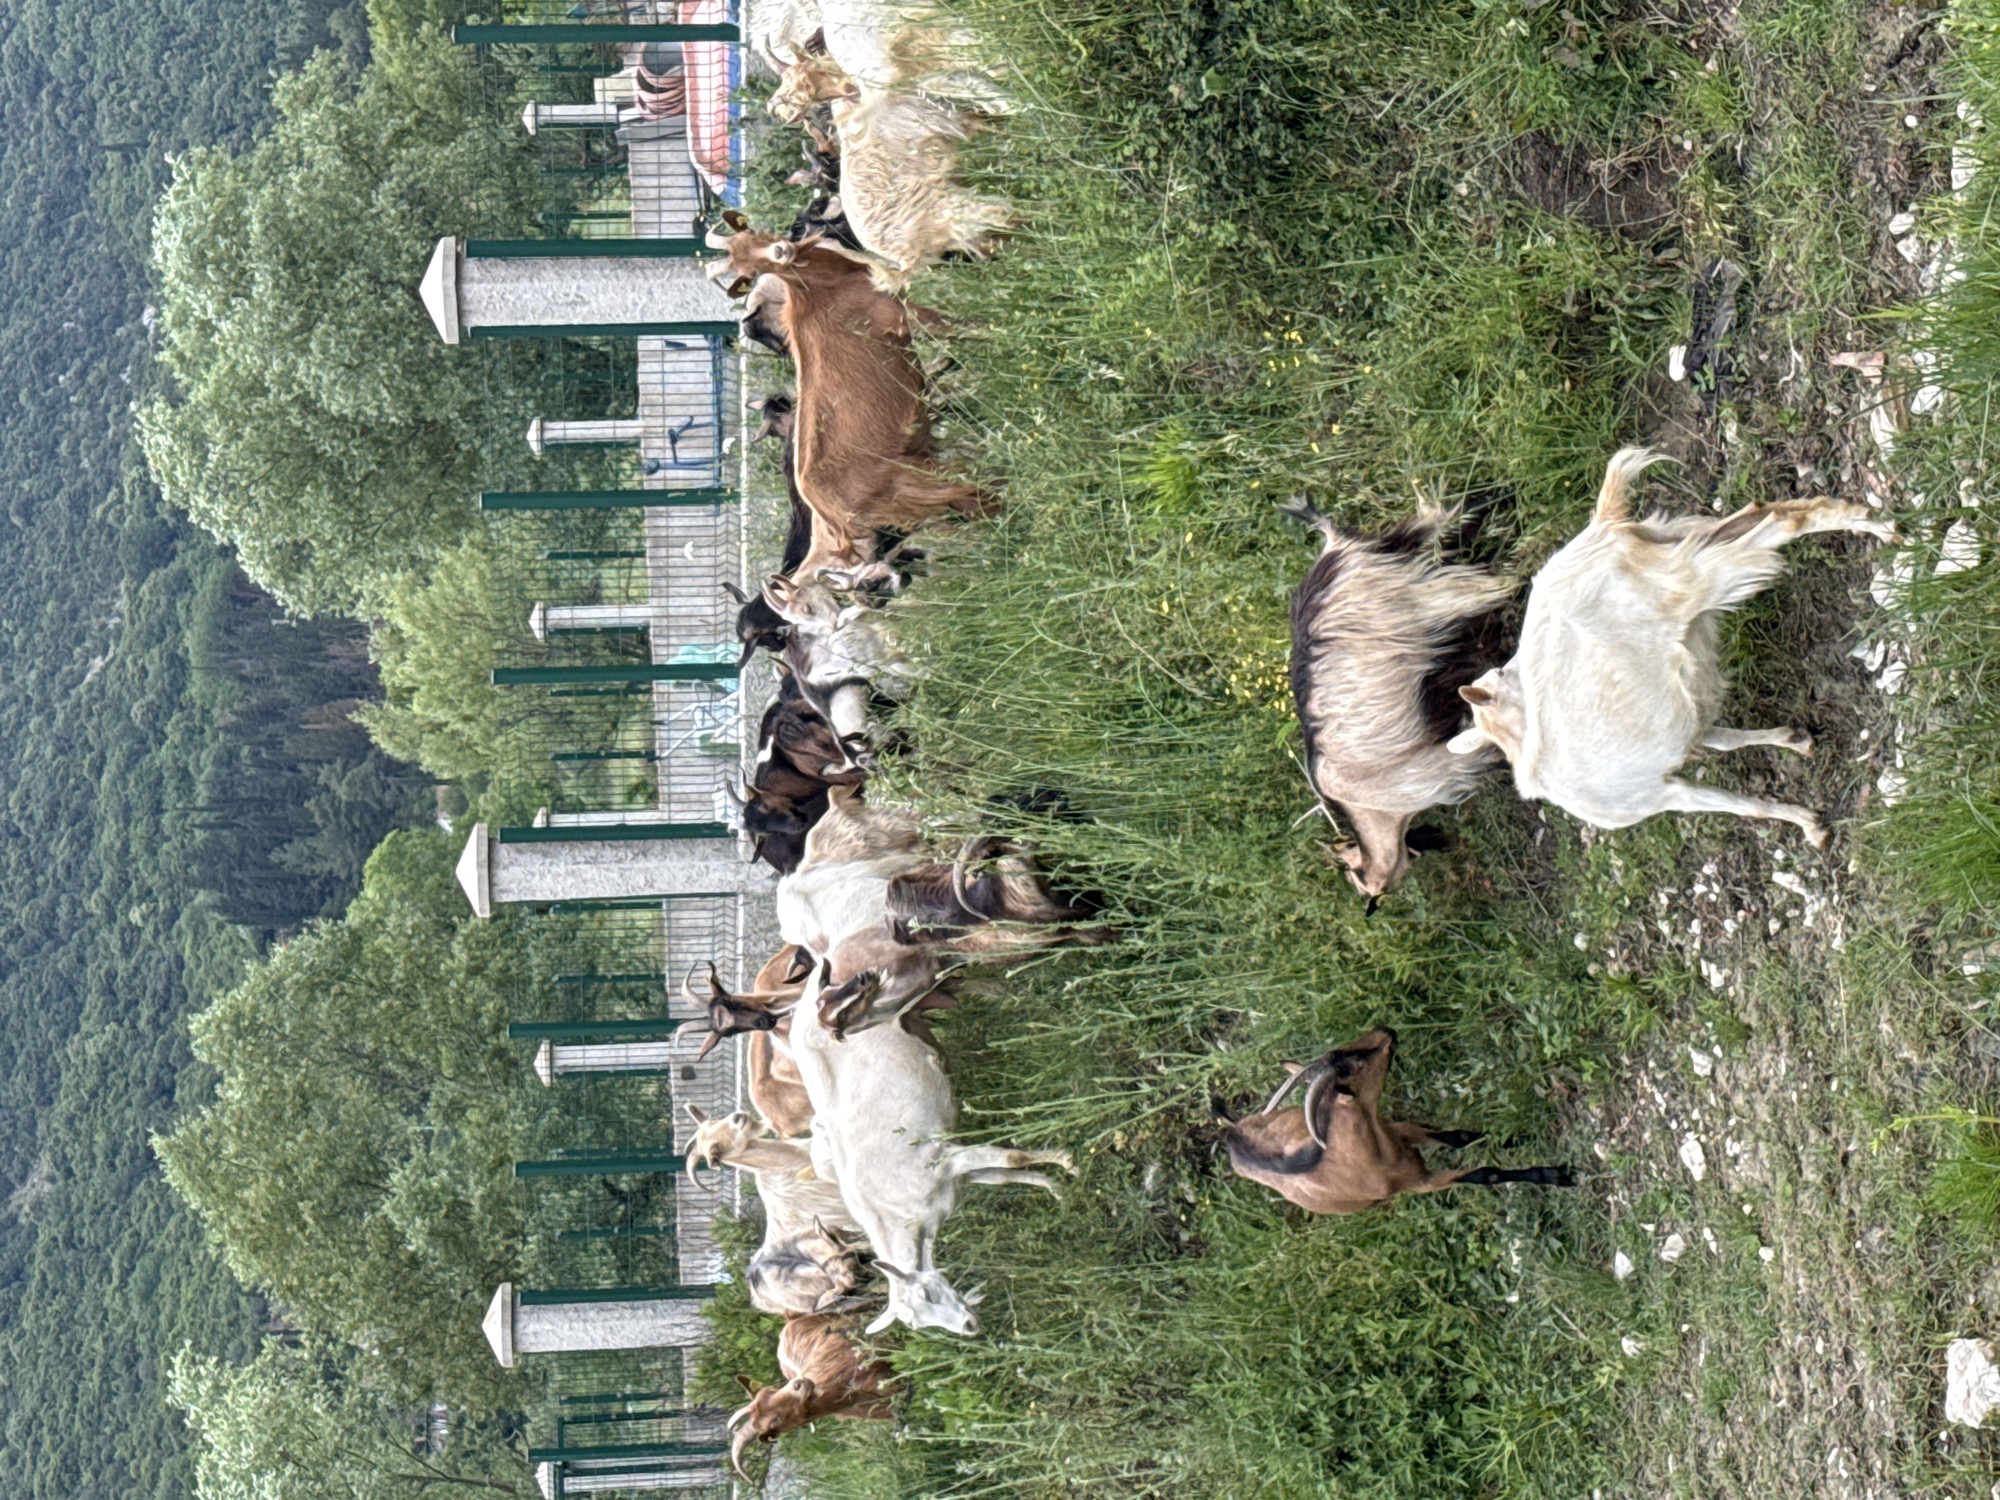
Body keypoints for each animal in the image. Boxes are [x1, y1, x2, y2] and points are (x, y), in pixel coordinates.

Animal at [790, 955, 1072, 1335]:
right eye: (920, 1324)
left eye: (928, 1294)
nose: (969, 1326)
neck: (898, 1212)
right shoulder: (960, 1177)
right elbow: (1003, 1175)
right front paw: (1056, 1189)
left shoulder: (946, 1158)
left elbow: (1011, 1158)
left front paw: (1068, 1161)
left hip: (891, 1001)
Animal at [1219, 1029, 1573, 1214]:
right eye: (1356, 1063)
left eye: (1345, 1051)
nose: (1386, 1030)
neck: (1373, 1154)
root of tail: (1232, 1134)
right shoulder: (1420, 1182)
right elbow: (1485, 1174)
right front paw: (1556, 1175)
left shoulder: (1398, 1130)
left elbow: (1458, 1137)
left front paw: (1519, 1137)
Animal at [1284, 498, 1516, 902]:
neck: (1375, 813)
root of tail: (1334, 548)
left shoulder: (1434, 770)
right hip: (1401, 563)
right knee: (1430, 523)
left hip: (1415, 601)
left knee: (1482, 584)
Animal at [1448, 449, 1899, 847]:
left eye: (1500, 674)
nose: (1518, 661)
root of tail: (1600, 528)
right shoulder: (1685, 739)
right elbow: (1725, 740)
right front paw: (1795, 741)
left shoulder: (1657, 798)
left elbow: (1738, 805)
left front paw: (1808, 824)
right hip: (1678, 546)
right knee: (1758, 512)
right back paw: (1865, 517)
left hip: (1689, 580)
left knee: (1776, 523)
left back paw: (1876, 526)